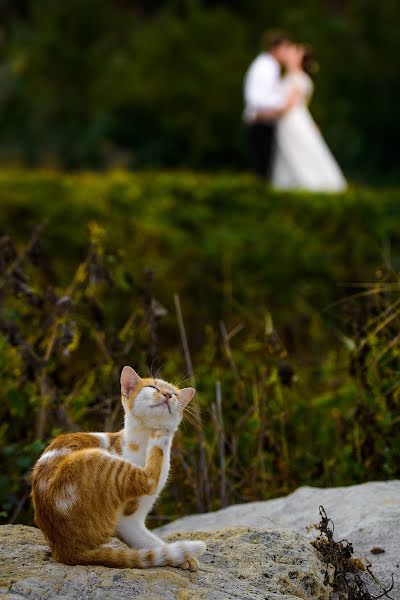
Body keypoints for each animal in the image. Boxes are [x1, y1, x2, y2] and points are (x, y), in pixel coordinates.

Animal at [31, 366, 206, 572]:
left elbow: (148, 540)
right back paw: (162, 435)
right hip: (92, 458)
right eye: (152, 387)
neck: (143, 442)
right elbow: (152, 541)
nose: (168, 394)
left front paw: (184, 558)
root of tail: (65, 549)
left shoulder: (134, 521)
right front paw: (183, 557)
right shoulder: (125, 520)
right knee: (149, 479)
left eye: (176, 394)